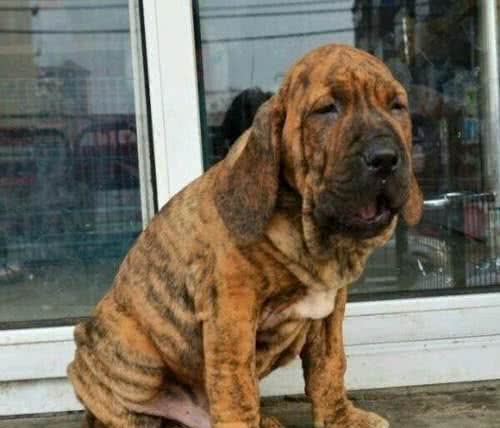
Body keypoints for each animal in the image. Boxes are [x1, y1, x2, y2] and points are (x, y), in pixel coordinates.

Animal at [68, 44, 423, 428]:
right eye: (327, 109)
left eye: (397, 106)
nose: (385, 158)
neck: (310, 234)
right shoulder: (232, 311)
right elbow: (235, 386)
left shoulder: (331, 313)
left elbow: (330, 368)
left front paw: (340, 419)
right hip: (131, 352)